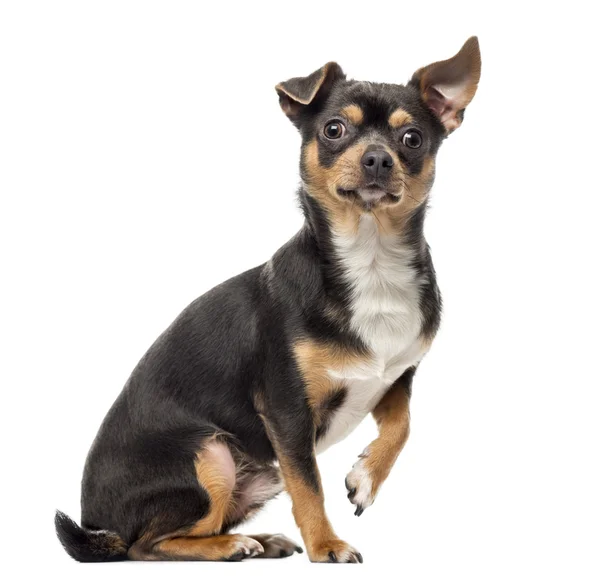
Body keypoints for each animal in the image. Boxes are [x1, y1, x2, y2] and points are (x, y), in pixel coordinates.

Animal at [56, 35, 482, 560]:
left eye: (413, 140)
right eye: (334, 129)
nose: (378, 159)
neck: (371, 260)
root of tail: (98, 526)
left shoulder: (394, 381)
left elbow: (402, 427)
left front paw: (365, 477)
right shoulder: (287, 410)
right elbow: (309, 486)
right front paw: (327, 545)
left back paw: (258, 538)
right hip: (211, 452)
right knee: (147, 545)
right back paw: (232, 545)